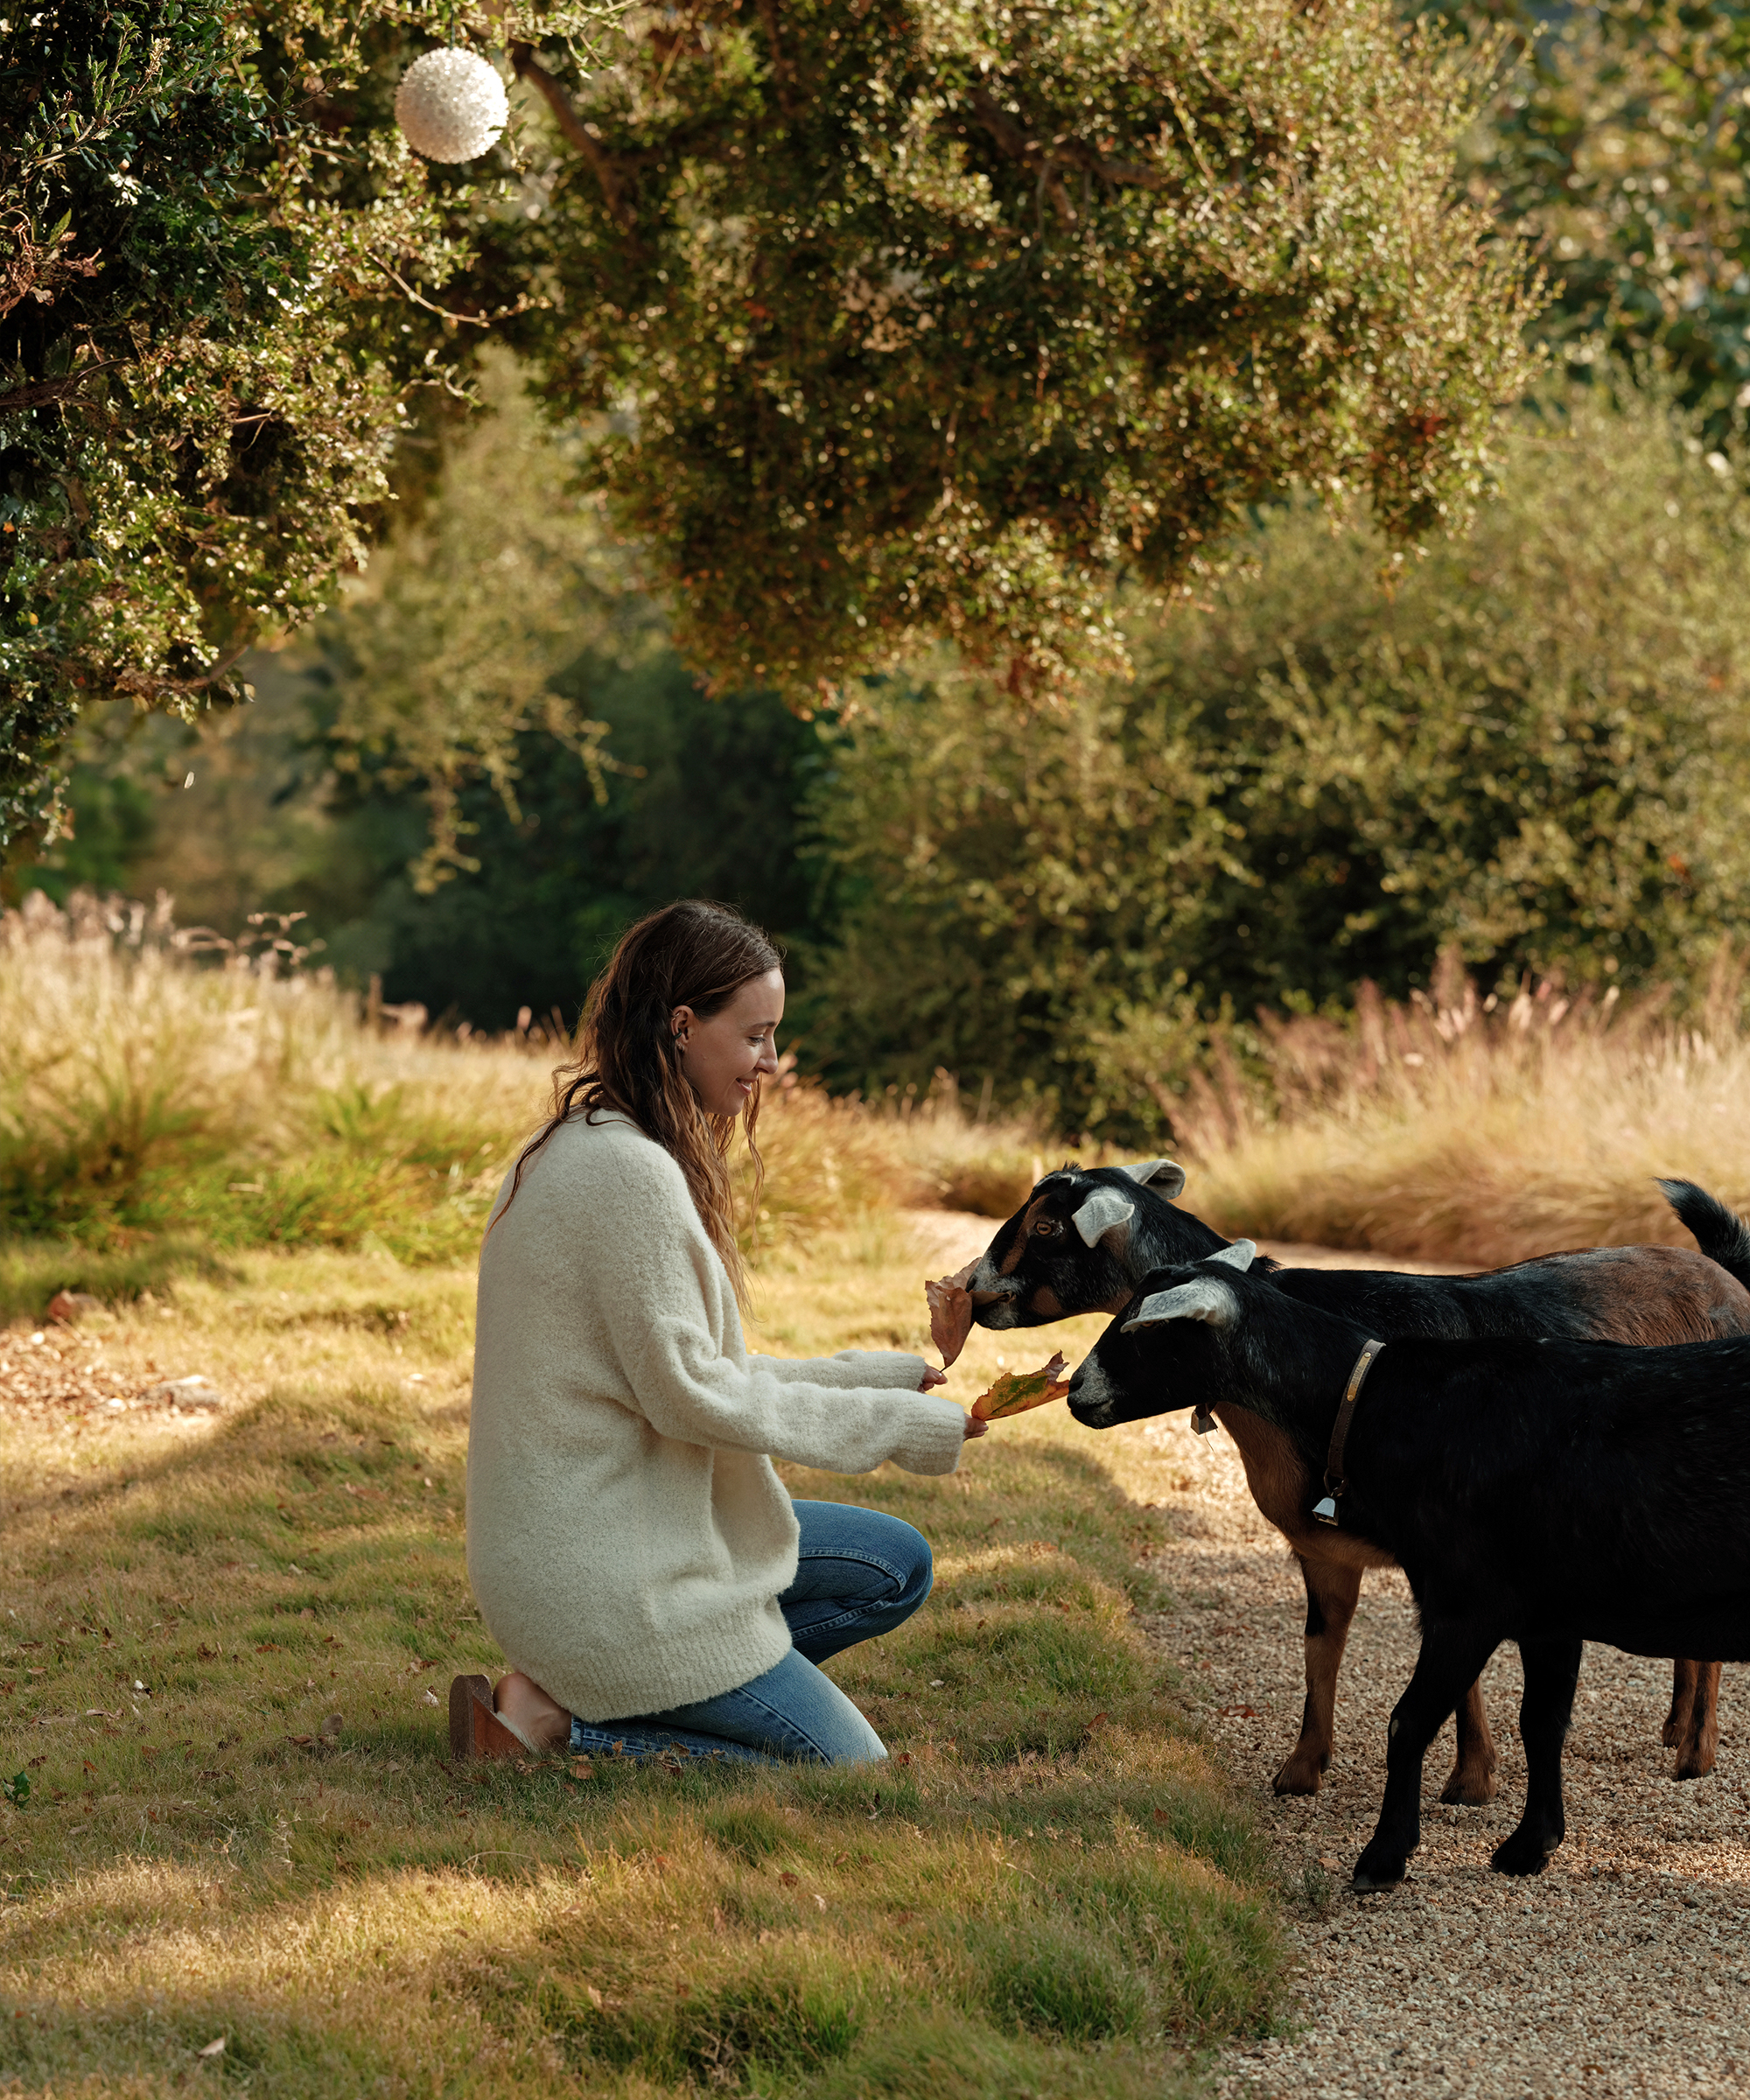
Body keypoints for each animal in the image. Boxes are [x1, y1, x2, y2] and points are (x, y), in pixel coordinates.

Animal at [966, 1160, 1750, 1795]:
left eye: (1045, 1225)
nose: (970, 1290)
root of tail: (1725, 1278)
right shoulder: (1321, 1543)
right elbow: (1321, 1647)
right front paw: (1302, 1769)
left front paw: (1471, 1780)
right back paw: (1678, 1728)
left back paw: (1697, 1754)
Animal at [1066, 1245, 1750, 1890]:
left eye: (1145, 1331)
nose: (1075, 1392)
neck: (1372, 1398)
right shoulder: (1549, 1614)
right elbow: (1542, 1723)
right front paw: (1530, 1846)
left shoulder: (1467, 1600)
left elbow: (1409, 1721)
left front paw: (1384, 1857)